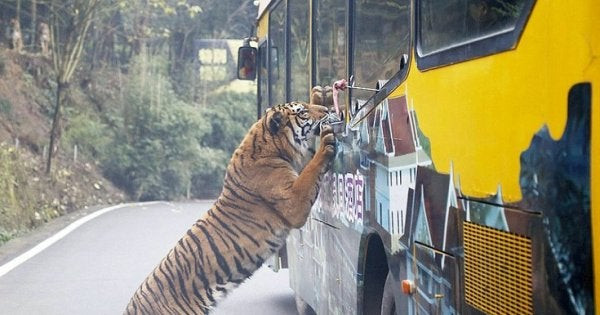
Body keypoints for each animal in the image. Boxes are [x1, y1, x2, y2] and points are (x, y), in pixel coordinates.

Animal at [125, 102, 338, 314]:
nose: (327, 110)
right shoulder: (294, 202)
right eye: (302, 112)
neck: (273, 146)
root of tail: (132, 307)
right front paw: (326, 141)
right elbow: (311, 170)